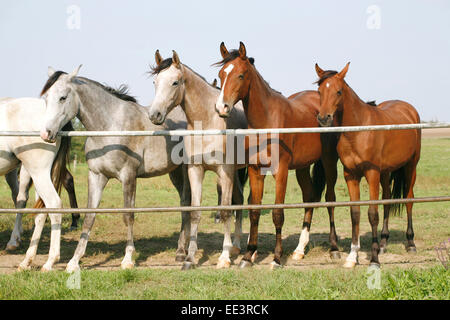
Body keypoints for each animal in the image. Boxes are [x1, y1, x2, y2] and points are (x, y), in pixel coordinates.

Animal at [38, 66, 192, 272]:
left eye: (63, 97)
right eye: (46, 98)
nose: (46, 133)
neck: (110, 126)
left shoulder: (128, 177)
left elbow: (128, 216)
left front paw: (127, 259)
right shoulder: (96, 176)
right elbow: (89, 217)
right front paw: (74, 261)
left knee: (187, 203)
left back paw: (182, 251)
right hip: (174, 172)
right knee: (184, 202)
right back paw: (180, 251)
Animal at [148, 50, 248, 270]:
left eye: (175, 82)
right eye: (155, 82)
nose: (154, 114)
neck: (209, 121)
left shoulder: (225, 171)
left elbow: (225, 211)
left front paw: (224, 258)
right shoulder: (195, 170)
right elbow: (195, 212)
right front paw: (189, 258)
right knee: (239, 199)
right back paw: (236, 246)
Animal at [214, 42, 338, 268]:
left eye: (241, 75)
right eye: (221, 74)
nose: (222, 107)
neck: (267, 122)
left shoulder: (281, 172)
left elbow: (277, 213)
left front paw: (277, 258)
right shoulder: (255, 171)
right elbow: (254, 211)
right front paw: (248, 256)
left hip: (329, 162)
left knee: (330, 199)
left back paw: (334, 249)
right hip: (302, 167)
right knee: (309, 198)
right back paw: (299, 250)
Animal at [312, 62, 422, 268]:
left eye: (339, 91)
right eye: (320, 91)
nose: (324, 118)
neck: (358, 130)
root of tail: (409, 109)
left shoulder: (371, 173)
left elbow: (372, 214)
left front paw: (374, 259)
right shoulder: (351, 175)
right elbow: (355, 212)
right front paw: (352, 256)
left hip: (411, 165)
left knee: (409, 199)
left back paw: (411, 243)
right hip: (385, 172)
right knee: (387, 199)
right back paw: (384, 243)